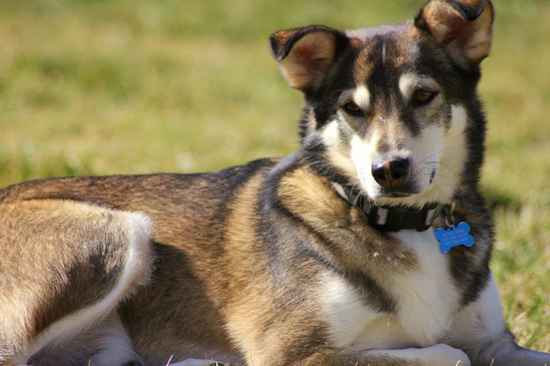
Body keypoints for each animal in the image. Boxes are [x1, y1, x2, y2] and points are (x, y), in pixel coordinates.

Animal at [1, 0, 550, 366]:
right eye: (352, 109)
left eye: (424, 96)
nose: (388, 170)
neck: (402, 225)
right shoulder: (296, 352)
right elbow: (447, 353)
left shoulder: (495, 342)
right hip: (116, 233)